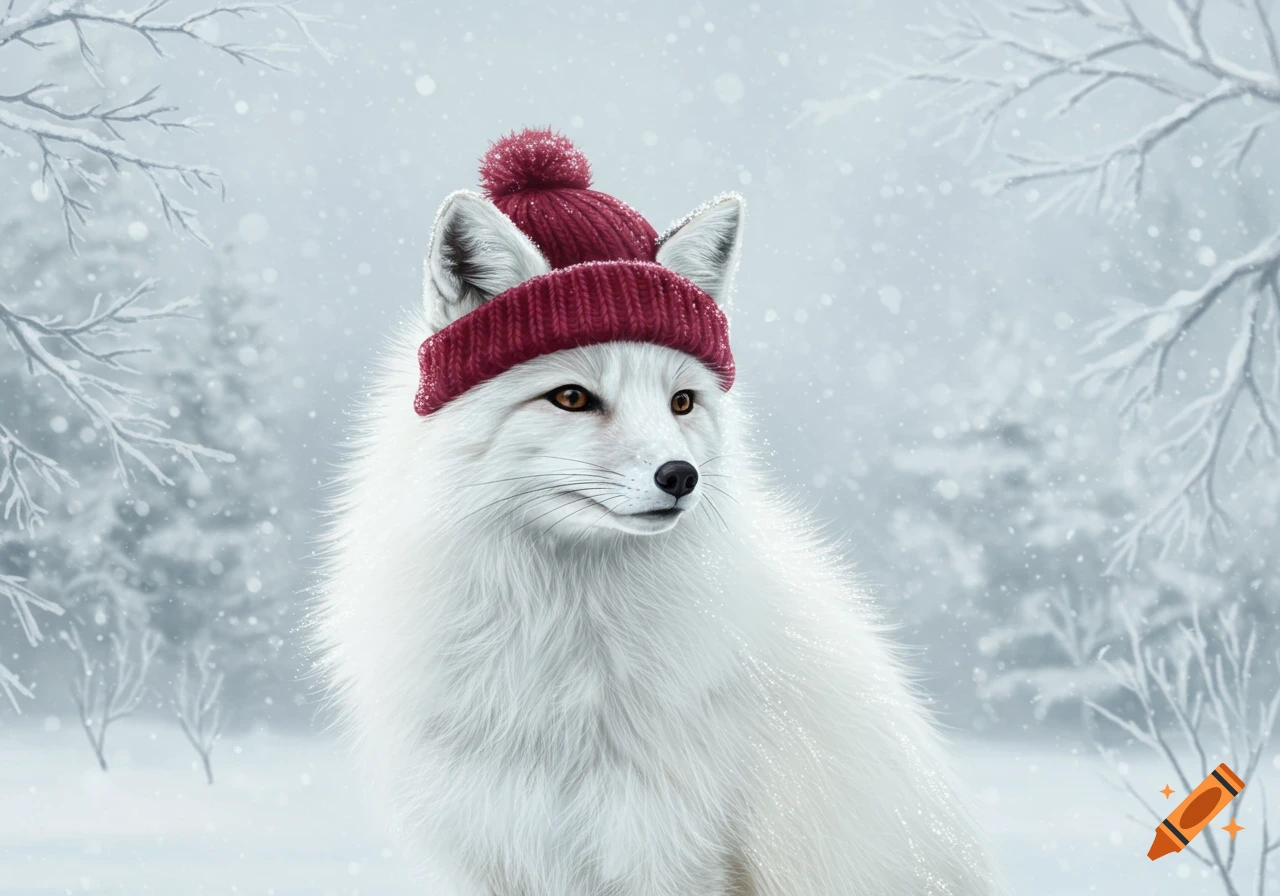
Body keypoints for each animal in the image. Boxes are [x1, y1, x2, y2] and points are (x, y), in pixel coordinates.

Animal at [317, 130, 1001, 896]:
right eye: (573, 398)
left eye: (682, 402)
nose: (681, 476)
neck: (557, 656)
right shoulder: (494, 850)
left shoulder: (673, 854)